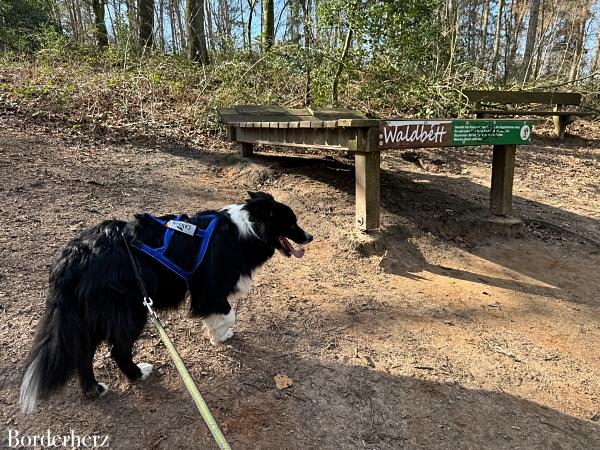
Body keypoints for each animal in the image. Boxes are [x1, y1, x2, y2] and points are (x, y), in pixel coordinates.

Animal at [19, 192, 310, 414]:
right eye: (292, 223)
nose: (310, 238)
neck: (244, 229)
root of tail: (73, 256)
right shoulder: (210, 287)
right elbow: (227, 313)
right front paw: (221, 335)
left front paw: (217, 333)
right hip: (129, 310)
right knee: (117, 350)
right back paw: (138, 373)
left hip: (93, 315)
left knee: (82, 352)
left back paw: (94, 389)